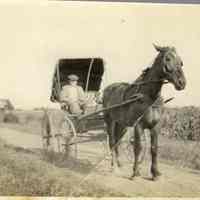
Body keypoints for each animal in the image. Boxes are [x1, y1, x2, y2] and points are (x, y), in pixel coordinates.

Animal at [102, 44, 187, 181]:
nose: (182, 83)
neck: (149, 96)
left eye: (180, 61)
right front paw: (135, 172)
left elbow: (154, 148)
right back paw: (113, 166)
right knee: (112, 142)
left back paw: (119, 164)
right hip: (109, 121)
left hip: (122, 125)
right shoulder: (138, 125)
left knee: (117, 142)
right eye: (168, 58)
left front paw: (155, 173)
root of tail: (108, 88)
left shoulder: (156, 126)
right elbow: (138, 147)